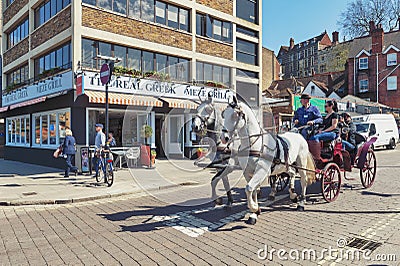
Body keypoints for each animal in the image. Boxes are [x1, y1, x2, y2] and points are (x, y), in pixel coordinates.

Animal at [220, 96, 314, 224]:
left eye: (235, 115)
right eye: (224, 114)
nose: (223, 138)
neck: (255, 145)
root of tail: (298, 134)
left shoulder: (261, 171)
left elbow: (249, 188)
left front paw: (254, 208)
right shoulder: (248, 172)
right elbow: (253, 190)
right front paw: (254, 213)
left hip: (301, 163)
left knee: (304, 180)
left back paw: (301, 203)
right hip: (287, 165)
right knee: (292, 174)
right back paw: (293, 194)